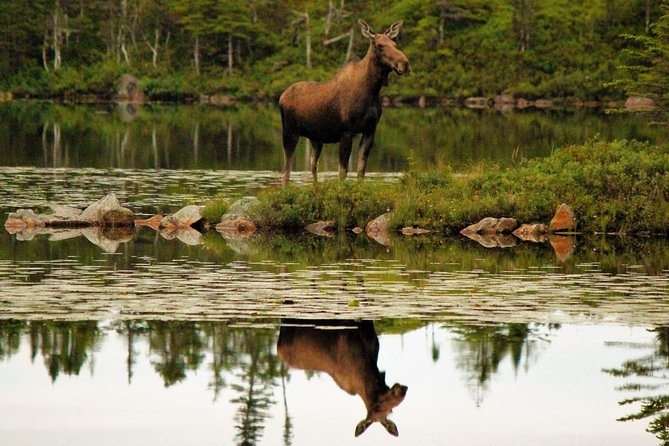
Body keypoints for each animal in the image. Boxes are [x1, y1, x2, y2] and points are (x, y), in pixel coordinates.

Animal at [278, 19, 412, 185]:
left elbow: (361, 171)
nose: (405, 64)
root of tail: (281, 96)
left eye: (395, 44)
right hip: (289, 132)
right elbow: (343, 172)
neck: (372, 90)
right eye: (380, 45)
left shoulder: (370, 131)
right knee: (286, 171)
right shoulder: (347, 132)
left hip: (316, 138)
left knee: (313, 165)